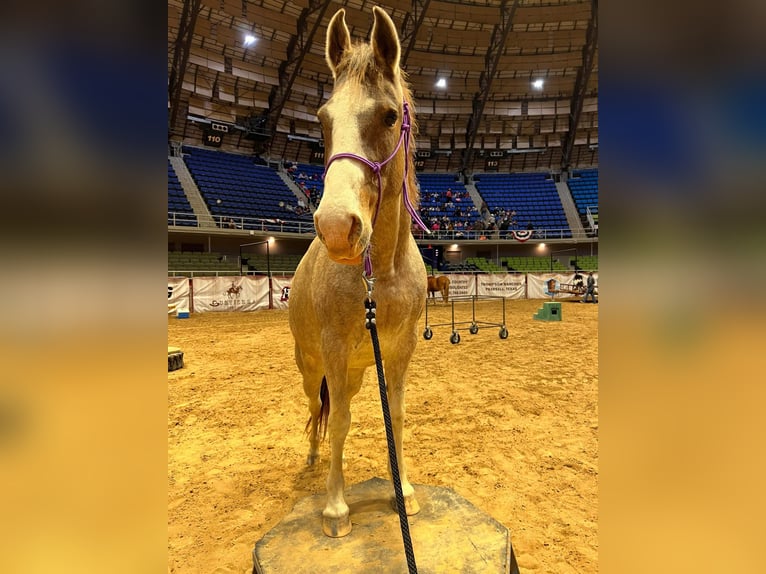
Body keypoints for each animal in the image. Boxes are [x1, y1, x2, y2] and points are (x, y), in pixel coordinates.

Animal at [292, 5, 428, 540]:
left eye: (389, 116)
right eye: (323, 119)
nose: (335, 227)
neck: (381, 274)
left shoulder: (400, 350)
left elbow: (398, 415)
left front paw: (403, 491)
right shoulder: (332, 348)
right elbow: (341, 423)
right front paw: (336, 508)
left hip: (351, 370)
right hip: (313, 366)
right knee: (320, 412)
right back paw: (312, 457)